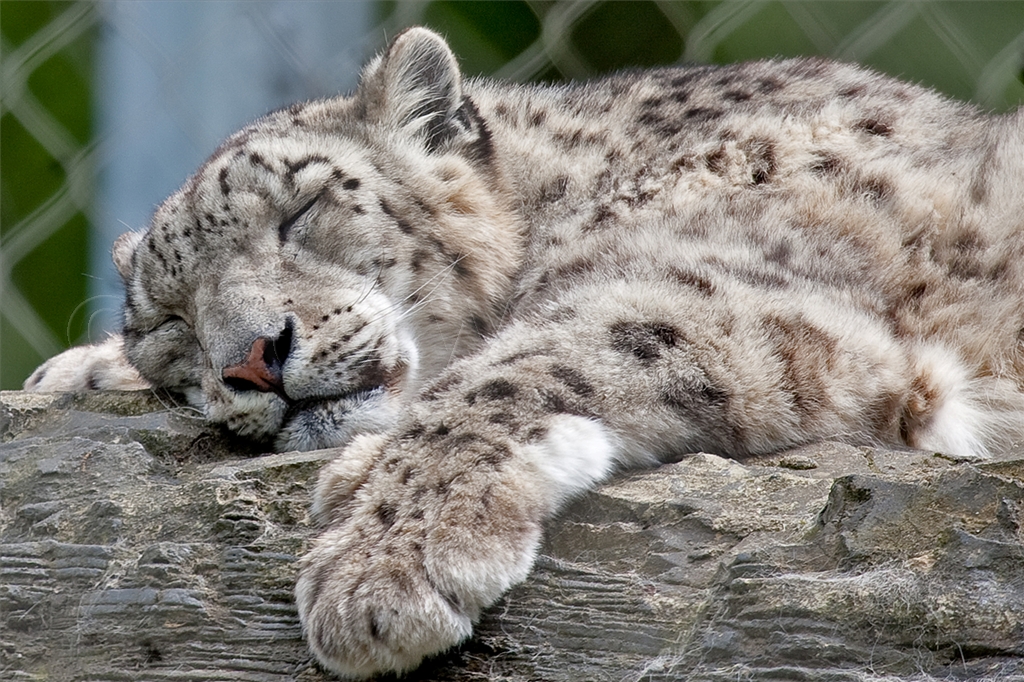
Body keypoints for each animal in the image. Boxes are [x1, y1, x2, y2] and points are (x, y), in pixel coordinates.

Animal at [25, 26, 1024, 678]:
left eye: (300, 210)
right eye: (170, 322)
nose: (254, 359)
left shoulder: (731, 289)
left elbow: (520, 366)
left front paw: (386, 557)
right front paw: (74, 371)